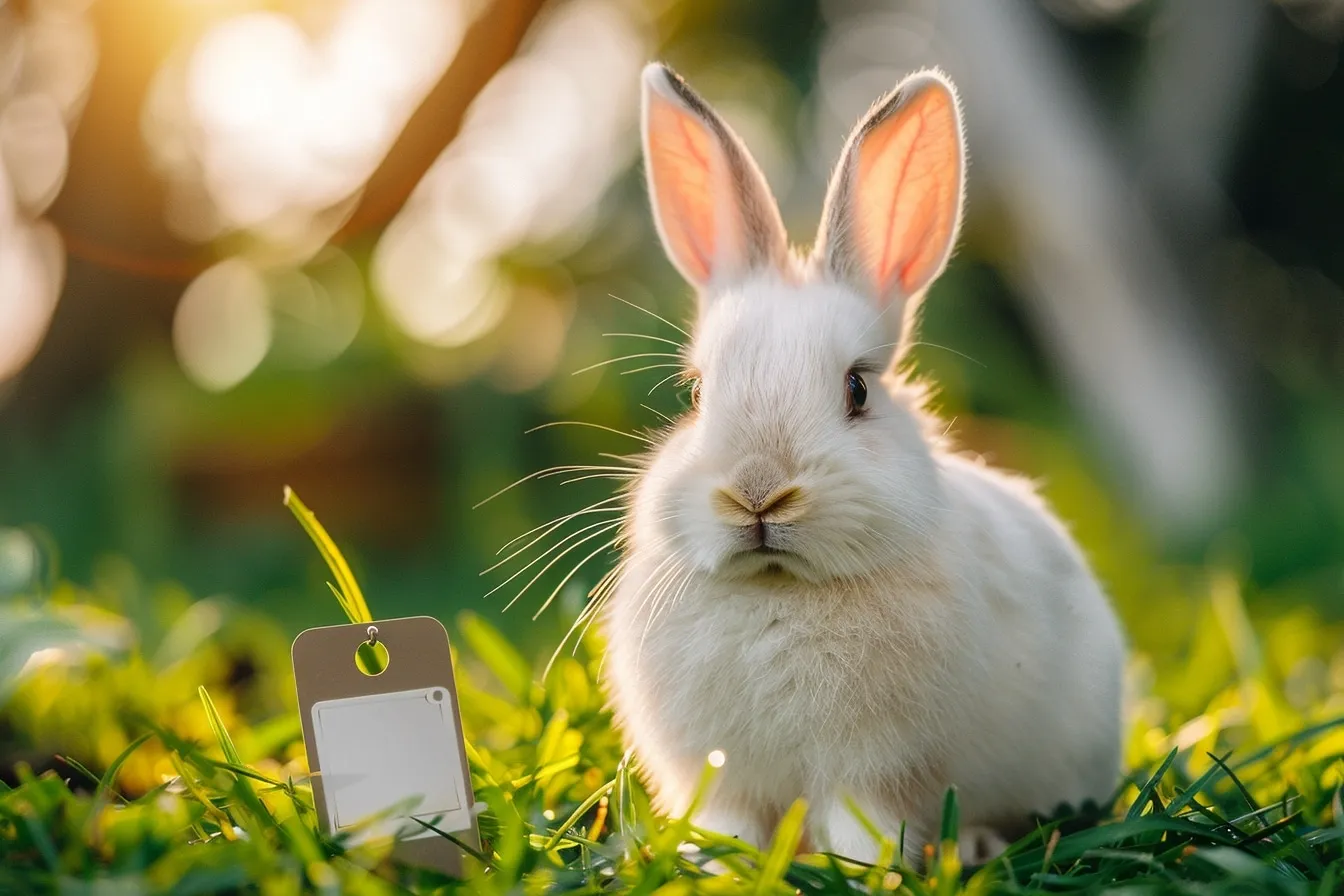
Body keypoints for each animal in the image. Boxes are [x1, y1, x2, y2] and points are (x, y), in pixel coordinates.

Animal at [598, 62, 1126, 867]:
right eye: (696, 393)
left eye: (857, 389)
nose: (758, 495)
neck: (777, 588)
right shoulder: (722, 785)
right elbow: (730, 830)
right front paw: (716, 869)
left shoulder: (875, 774)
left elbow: (865, 828)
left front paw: (870, 871)